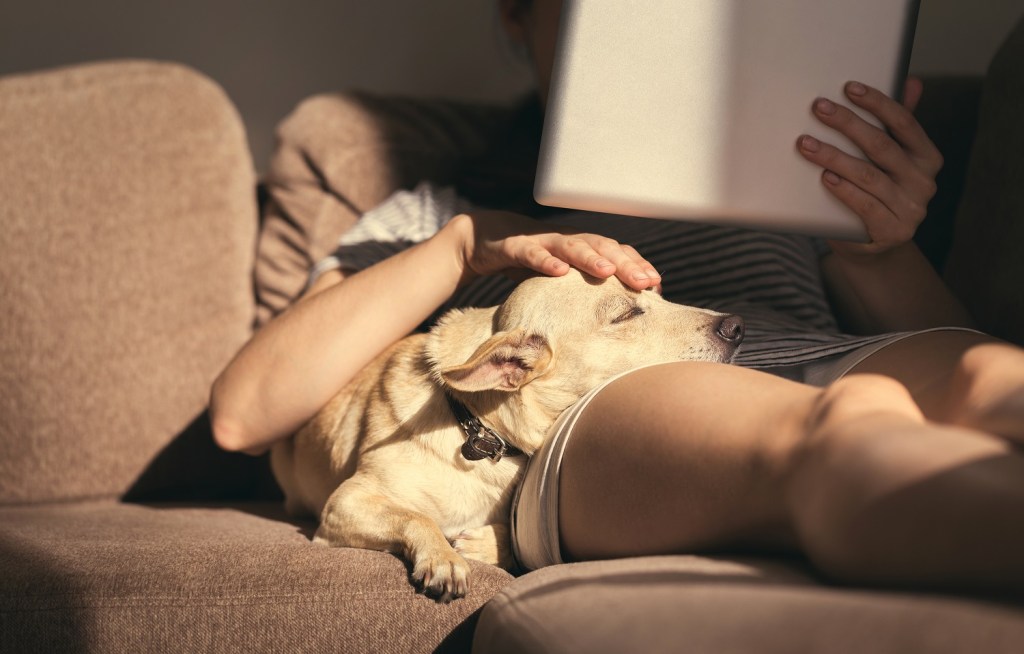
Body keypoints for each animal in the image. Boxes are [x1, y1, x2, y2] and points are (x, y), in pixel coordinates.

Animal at [268, 270, 741, 605]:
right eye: (626, 314)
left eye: (661, 296)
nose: (736, 325)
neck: (478, 427)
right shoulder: (346, 502)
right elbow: (417, 516)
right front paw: (444, 557)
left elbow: (514, 539)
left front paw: (479, 544)